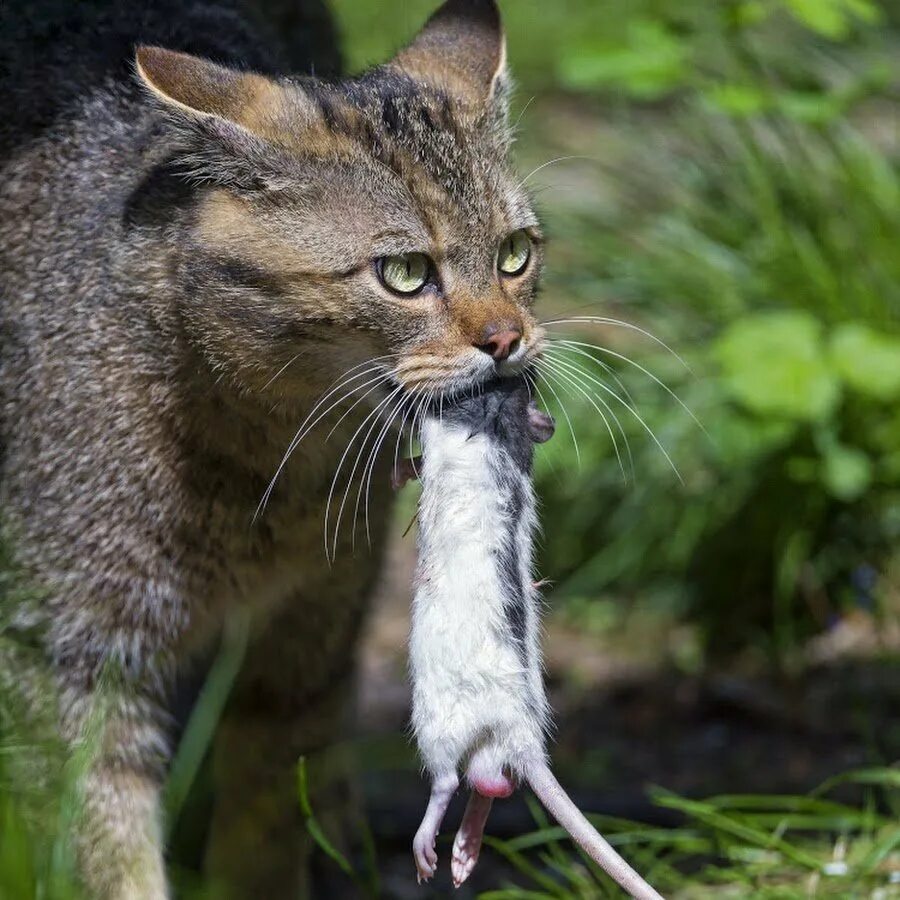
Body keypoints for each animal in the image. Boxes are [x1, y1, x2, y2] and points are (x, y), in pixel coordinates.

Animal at [0, 0, 544, 896]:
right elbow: (103, 846)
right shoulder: (66, 657)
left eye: (515, 255)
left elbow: (269, 807)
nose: (507, 339)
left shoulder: (311, 624)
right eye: (404, 272)